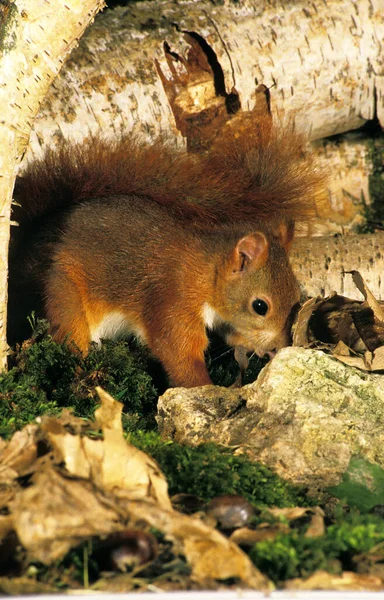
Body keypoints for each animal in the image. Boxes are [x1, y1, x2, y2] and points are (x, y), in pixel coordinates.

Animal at [8, 122, 324, 386]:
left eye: (296, 297)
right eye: (260, 306)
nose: (280, 345)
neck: (205, 271)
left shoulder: (223, 317)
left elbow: (233, 333)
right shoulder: (173, 299)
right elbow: (178, 351)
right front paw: (206, 390)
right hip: (62, 293)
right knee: (70, 336)